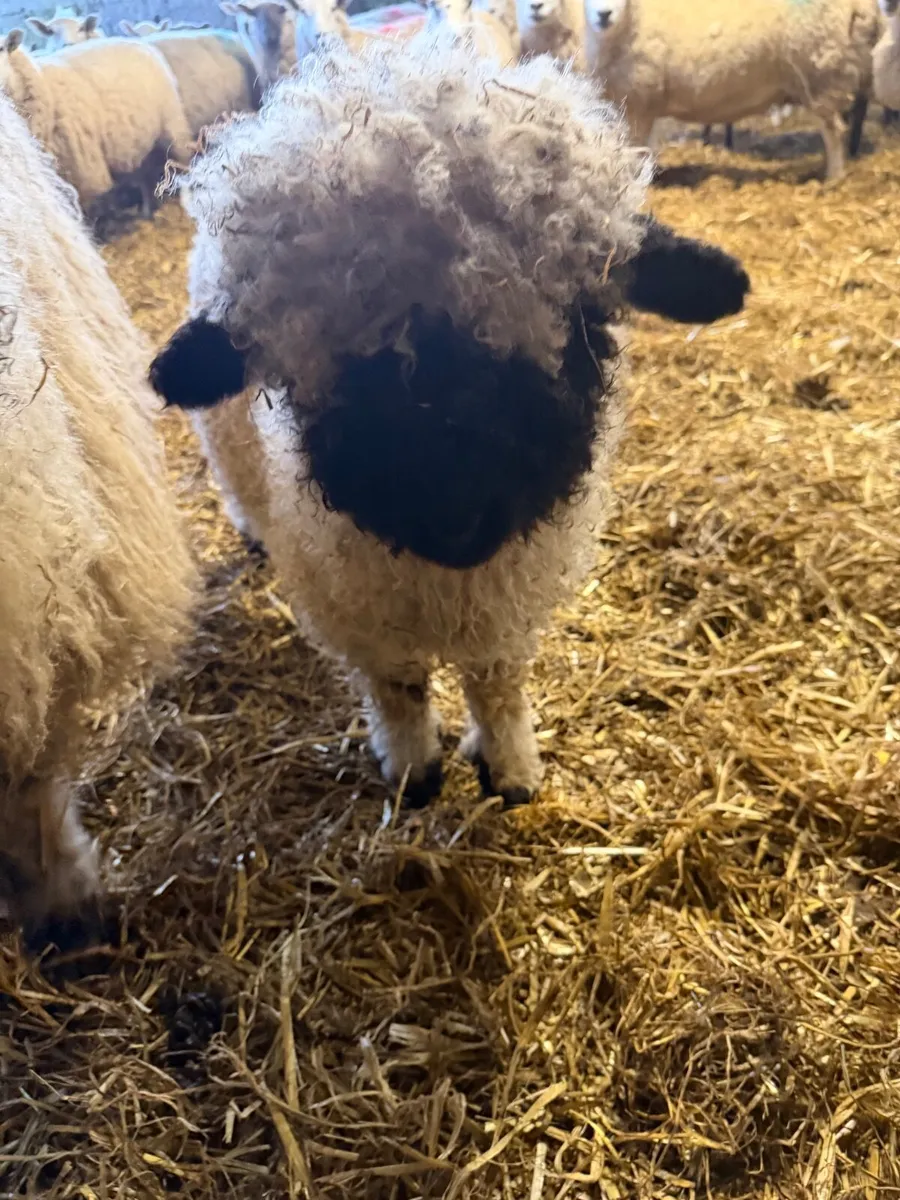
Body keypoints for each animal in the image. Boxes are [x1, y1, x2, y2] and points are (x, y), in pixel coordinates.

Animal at [149, 35, 749, 808]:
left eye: (581, 324)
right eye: (333, 364)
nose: (458, 520)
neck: (446, 578)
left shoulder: (505, 599)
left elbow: (496, 683)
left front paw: (511, 767)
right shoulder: (357, 600)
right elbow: (398, 687)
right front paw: (413, 769)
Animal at [583, 0, 881, 181]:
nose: (604, 15)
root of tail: (862, 6)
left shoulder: (641, 97)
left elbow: (637, 147)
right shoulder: (641, 101)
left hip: (819, 73)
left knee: (834, 131)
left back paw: (833, 177)